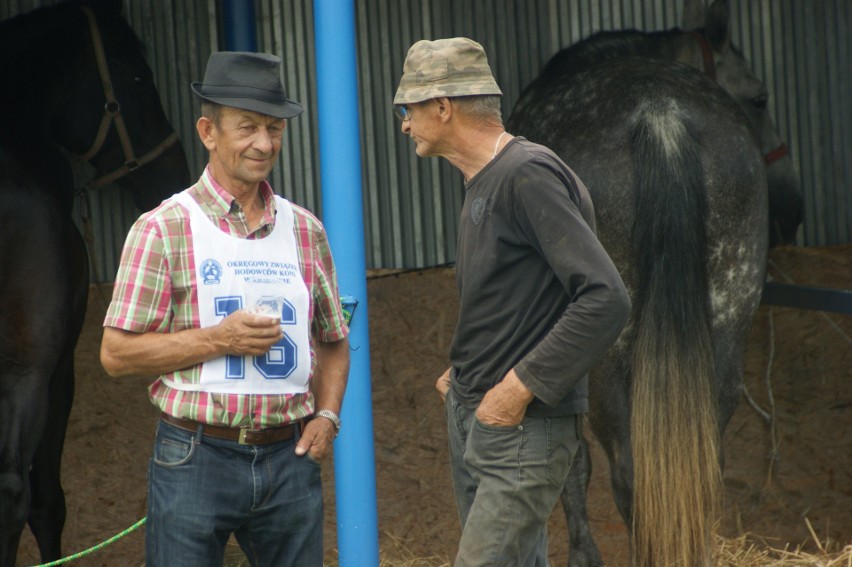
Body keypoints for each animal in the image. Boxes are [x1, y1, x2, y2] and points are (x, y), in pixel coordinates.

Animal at [506, 1, 792, 567]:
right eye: (759, 97)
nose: (794, 210)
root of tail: (661, 117)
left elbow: (573, 462)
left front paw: (582, 554)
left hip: (608, 354)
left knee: (628, 472)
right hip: (725, 332)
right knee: (701, 464)